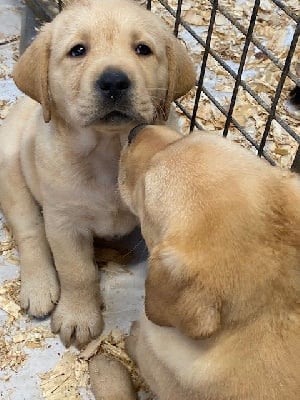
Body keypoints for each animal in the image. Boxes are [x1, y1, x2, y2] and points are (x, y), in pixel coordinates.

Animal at [0, 0, 196, 346]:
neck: (109, 151)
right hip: (11, 173)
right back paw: (39, 288)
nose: (114, 81)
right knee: (30, 231)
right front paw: (78, 317)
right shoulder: (65, 222)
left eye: (142, 49)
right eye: (78, 50)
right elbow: (77, 272)